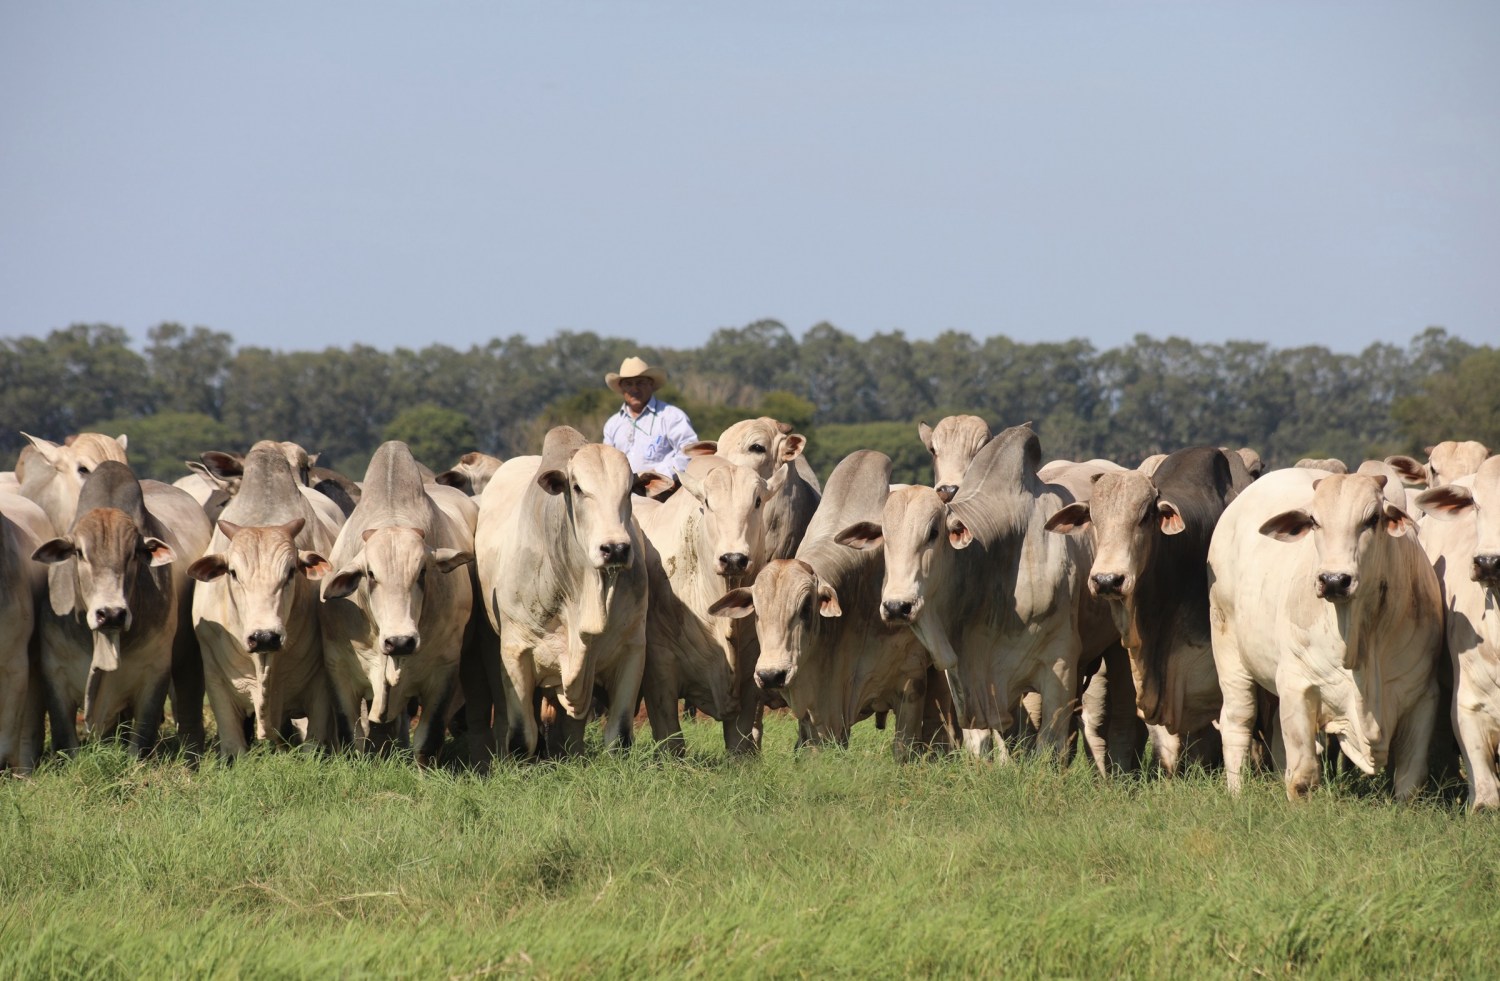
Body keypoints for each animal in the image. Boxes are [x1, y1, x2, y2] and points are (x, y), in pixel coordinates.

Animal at [316, 441, 474, 768]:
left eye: (423, 571)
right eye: (370, 575)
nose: (400, 641)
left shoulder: (444, 670)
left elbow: (428, 740)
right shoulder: (338, 667)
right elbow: (351, 737)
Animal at [474, 426, 663, 756]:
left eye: (630, 489)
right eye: (577, 487)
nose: (615, 548)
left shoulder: (632, 649)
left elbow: (619, 735)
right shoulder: (515, 651)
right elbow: (523, 735)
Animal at [633, 456, 786, 756]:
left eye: (758, 501)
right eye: (706, 503)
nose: (733, 559)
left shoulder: (749, 682)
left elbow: (739, 745)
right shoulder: (659, 676)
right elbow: (672, 743)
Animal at [1206, 474, 1440, 804]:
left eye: (1373, 518)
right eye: (1314, 521)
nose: (1334, 580)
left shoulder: (1423, 694)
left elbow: (1410, 781)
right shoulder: (1297, 684)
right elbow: (1303, 777)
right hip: (1228, 648)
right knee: (1237, 721)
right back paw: (1236, 793)